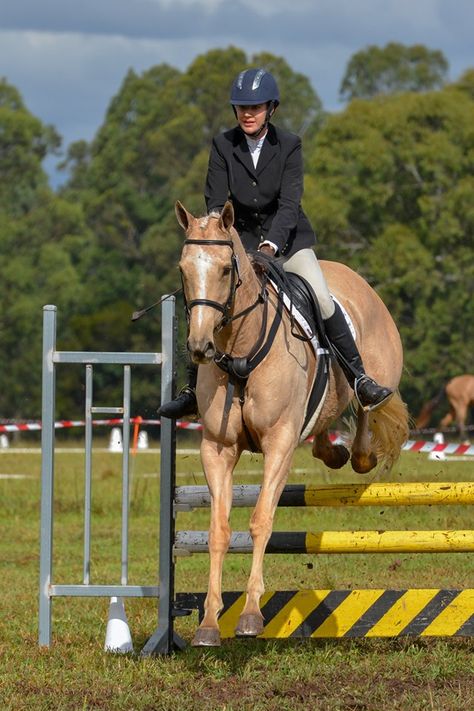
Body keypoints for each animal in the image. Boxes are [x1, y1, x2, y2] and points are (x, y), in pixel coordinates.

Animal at [176, 202, 410, 652]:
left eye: (226, 270)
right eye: (183, 269)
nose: (200, 347)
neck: (240, 350)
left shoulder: (279, 445)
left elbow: (260, 521)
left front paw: (251, 617)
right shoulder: (217, 449)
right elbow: (219, 530)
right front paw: (209, 624)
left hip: (378, 372)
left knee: (366, 408)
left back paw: (359, 452)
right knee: (324, 429)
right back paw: (332, 451)